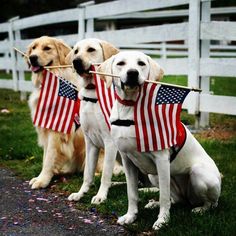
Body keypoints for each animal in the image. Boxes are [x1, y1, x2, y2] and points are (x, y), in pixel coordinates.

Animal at [26, 36, 85, 189]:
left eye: (47, 48)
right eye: (33, 48)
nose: (32, 58)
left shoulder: (56, 132)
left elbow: (49, 159)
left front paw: (42, 180)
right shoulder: (46, 128)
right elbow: (45, 157)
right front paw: (44, 177)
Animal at [65, 37, 122, 204]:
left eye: (91, 49)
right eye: (76, 51)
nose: (76, 61)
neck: (92, 93)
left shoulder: (110, 142)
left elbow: (105, 174)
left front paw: (101, 195)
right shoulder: (90, 142)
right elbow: (87, 174)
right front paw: (81, 193)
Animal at [97, 50, 221, 230]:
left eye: (141, 63)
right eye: (121, 63)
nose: (132, 73)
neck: (130, 107)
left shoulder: (161, 159)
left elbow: (163, 196)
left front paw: (162, 221)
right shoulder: (127, 159)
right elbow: (132, 193)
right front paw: (131, 216)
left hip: (199, 174)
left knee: (211, 203)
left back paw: (200, 209)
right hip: (154, 175)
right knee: (176, 199)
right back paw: (155, 204)